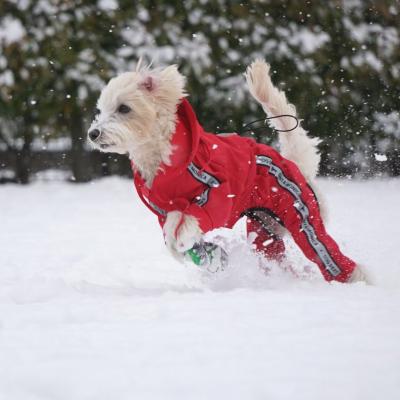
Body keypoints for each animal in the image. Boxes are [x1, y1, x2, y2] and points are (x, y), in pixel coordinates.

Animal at [87, 60, 368, 284]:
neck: (165, 159)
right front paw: (203, 254)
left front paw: (188, 242)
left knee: (324, 251)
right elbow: (171, 231)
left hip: (298, 212)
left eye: (124, 108)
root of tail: (294, 164)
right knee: (274, 256)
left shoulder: (219, 192)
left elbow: (194, 218)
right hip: (265, 232)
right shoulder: (164, 208)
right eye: (100, 110)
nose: (93, 133)